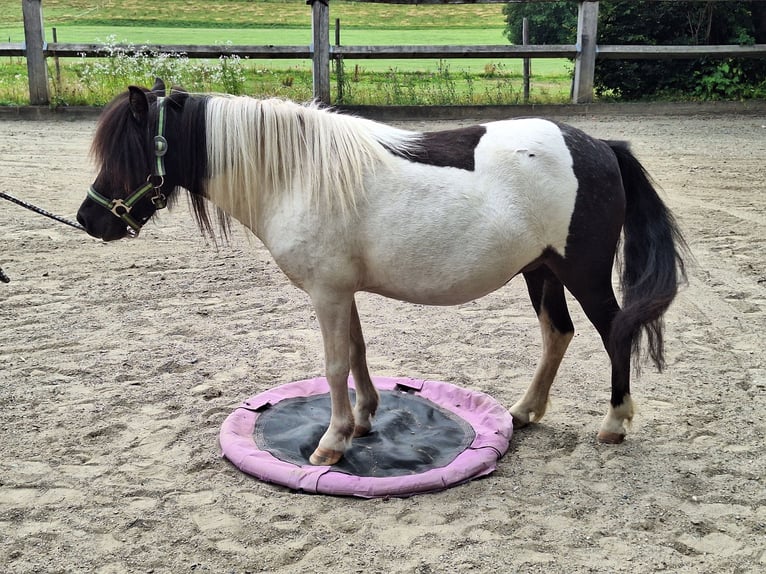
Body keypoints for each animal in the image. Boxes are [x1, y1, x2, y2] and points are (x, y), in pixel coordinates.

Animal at [77, 79, 687, 466]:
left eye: (127, 151)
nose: (89, 218)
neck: (295, 175)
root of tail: (601, 147)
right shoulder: (342, 289)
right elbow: (358, 351)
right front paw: (365, 419)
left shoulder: (326, 291)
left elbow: (333, 364)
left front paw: (332, 441)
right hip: (540, 271)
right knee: (557, 333)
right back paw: (525, 412)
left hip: (582, 273)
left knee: (614, 333)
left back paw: (614, 423)